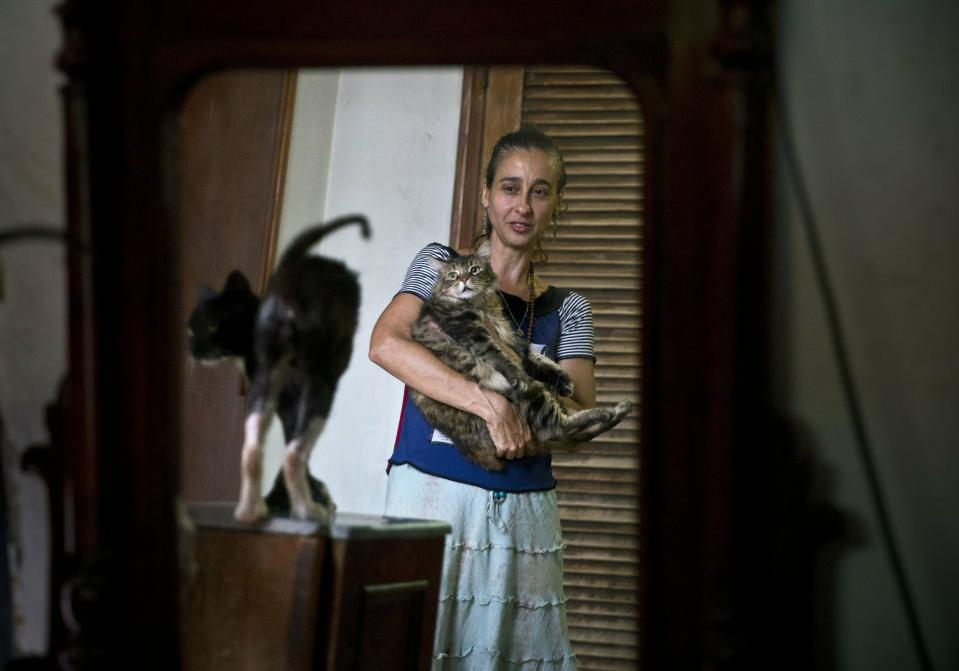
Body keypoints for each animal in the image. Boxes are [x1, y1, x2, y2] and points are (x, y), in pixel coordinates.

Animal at [188, 215, 372, 524]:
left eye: (212, 325)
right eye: (191, 329)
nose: (193, 350)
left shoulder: (279, 397)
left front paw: (290, 496)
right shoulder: (293, 397)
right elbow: (296, 446)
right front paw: (309, 495)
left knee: (252, 450)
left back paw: (253, 510)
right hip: (320, 382)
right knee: (293, 453)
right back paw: (307, 509)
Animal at [410, 243, 632, 472]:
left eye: (474, 270)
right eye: (453, 275)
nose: (463, 280)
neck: (480, 304)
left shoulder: (507, 333)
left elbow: (534, 356)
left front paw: (564, 381)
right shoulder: (471, 331)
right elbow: (504, 358)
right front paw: (517, 374)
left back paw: (618, 409)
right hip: (533, 398)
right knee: (557, 428)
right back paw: (608, 412)